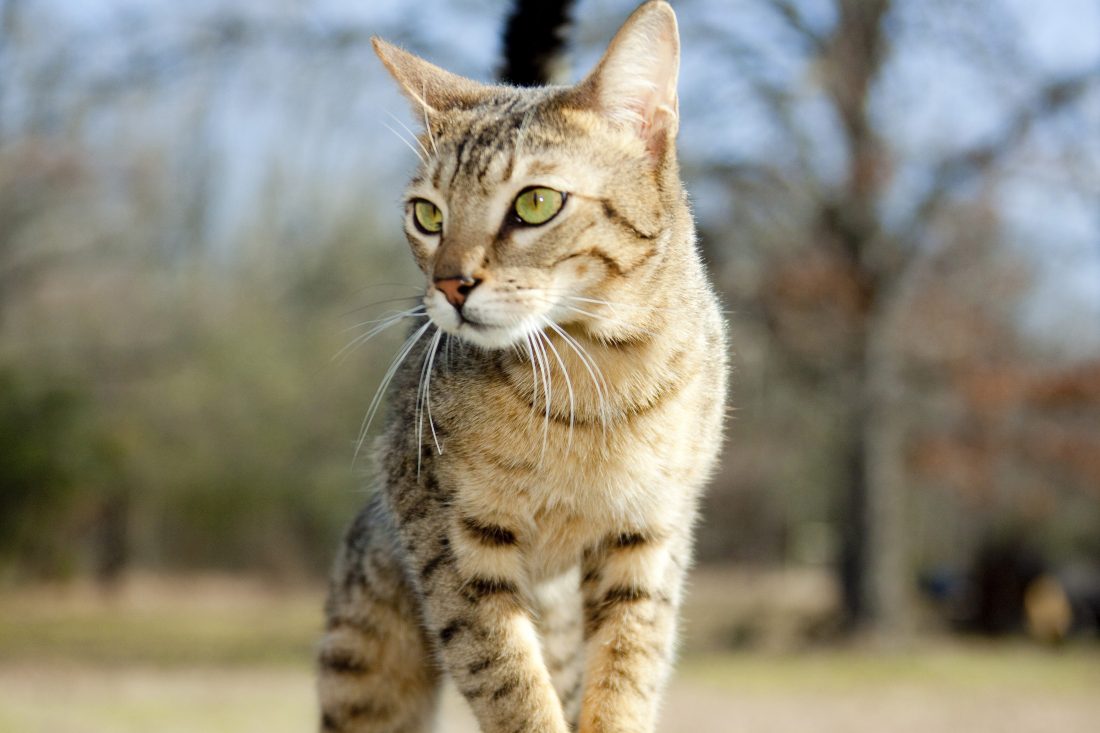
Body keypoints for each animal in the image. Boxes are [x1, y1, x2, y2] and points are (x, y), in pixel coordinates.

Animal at [314, 2, 730, 726]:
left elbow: (626, 678)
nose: (450, 285)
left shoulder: (651, 541)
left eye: (536, 203)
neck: (595, 381)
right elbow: (510, 684)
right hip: (363, 662)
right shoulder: (450, 542)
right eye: (427, 214)